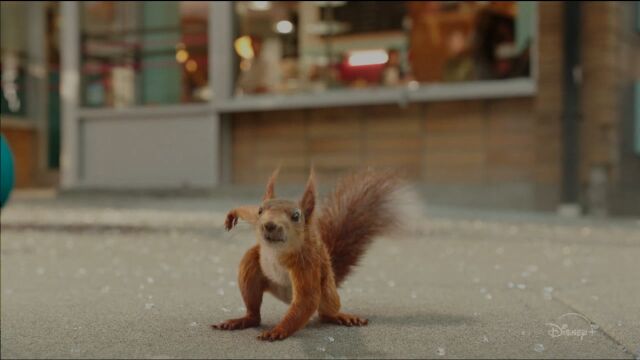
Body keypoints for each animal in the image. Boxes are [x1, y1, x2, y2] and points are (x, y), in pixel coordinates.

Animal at [214, 167, 404, 342]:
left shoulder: (305, 264)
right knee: (254, 313)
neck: (278, 251)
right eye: (261, 210)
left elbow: (307, 299)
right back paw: (241, 320)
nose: (269, 225)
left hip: (327, 293)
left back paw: (340, 316)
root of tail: (287, 298)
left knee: (324, 311)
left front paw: (278, 330)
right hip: (252, 267)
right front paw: (233, 213)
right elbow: (249, 212)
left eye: (296, 216)